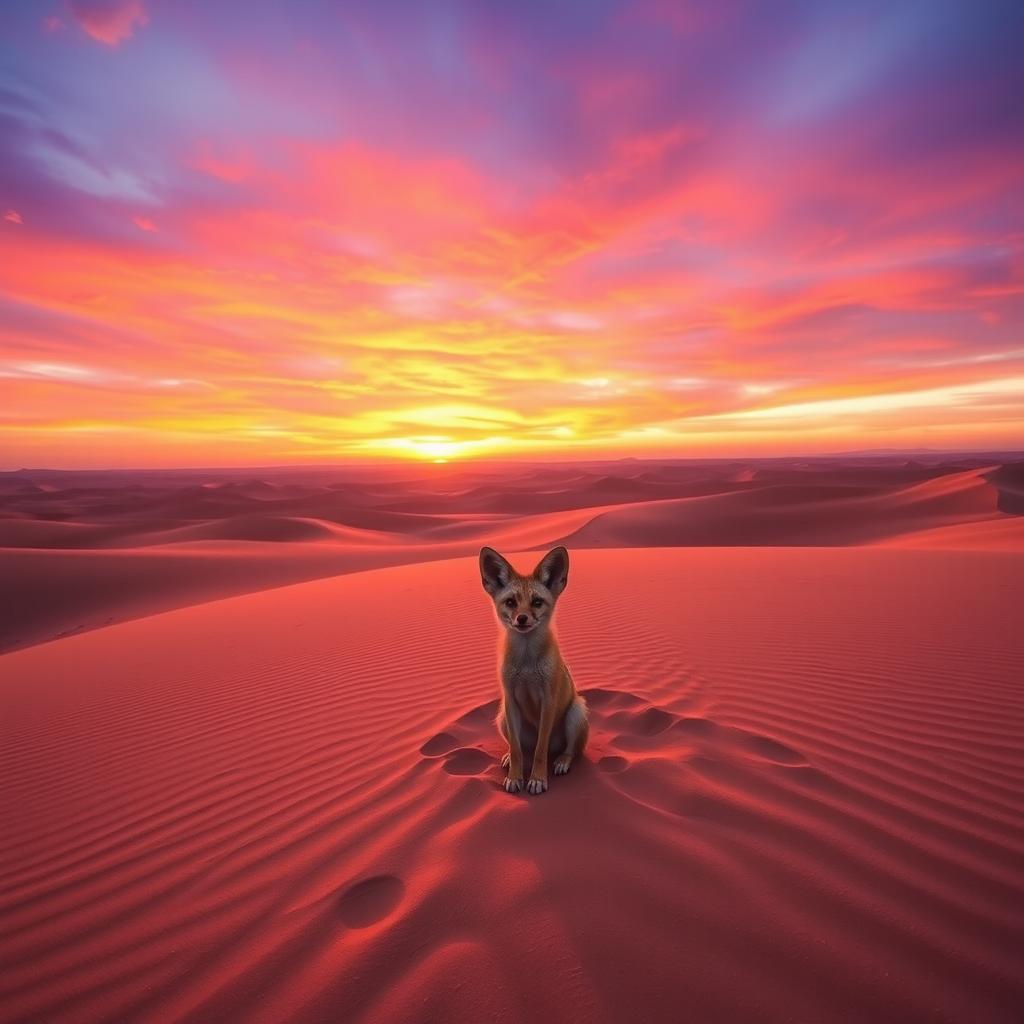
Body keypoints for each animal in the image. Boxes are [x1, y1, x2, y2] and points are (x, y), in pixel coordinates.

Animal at [477, 544, 589, 790]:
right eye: (510, 602)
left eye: (537, 602)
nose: (521, 618)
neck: (527, 664)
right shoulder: (510, 700)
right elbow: (517, 751)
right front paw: (515, 776)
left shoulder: (548, 699)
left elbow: (540, 751)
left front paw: (537, 779)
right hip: (502, 718)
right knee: (521, 748)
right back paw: (509, 759)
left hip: (576, 712)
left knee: (569, 751)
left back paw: (561, 761)